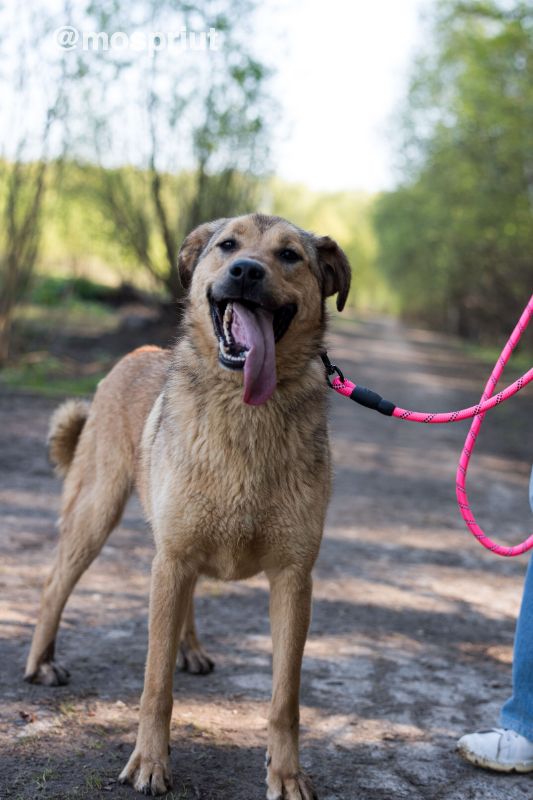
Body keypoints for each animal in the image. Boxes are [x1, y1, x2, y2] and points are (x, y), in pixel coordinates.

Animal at [25, 212, 352, 800]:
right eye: (227, 245)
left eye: (289, 255)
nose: (245, 270)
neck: (247, 412)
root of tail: (134, 355)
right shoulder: (172, 560)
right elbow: (155, 685)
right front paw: (150, 763)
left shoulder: (294, 577)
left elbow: (285, 698)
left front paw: (286, 773)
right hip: (98, 512)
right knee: (55, 582)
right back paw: (41, 662)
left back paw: (191, 648)